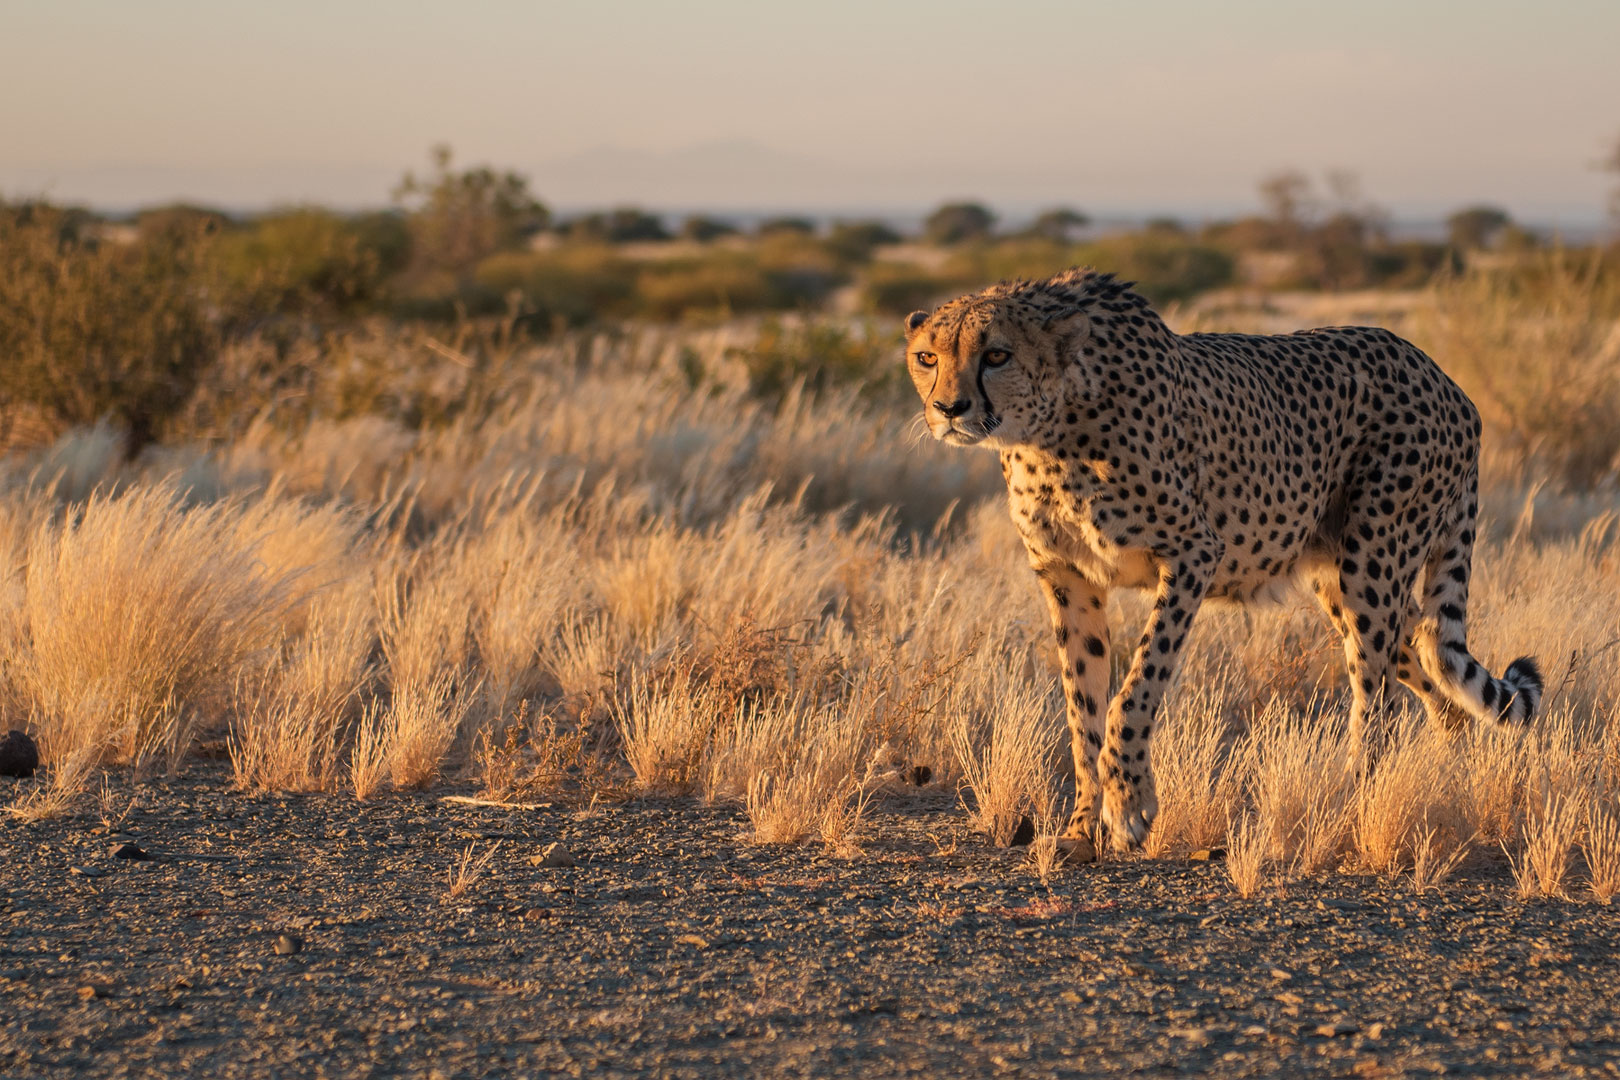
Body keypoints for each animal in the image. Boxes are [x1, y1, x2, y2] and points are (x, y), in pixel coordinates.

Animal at [907, 268, 1548, 854]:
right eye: (926, 357)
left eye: (996, 355)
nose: (949, 407)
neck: (1048, 427)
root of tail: (1445, 380)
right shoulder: (1068, 577)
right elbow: (1081, 705)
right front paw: (1084, 825)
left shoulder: (1193, 553)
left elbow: (1134, 689)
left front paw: (1130, 807)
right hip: (1339, 576)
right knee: (1428, 655)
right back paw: (1440, 774)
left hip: (1373, 562)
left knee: (1379, 697)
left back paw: (1352, 803)